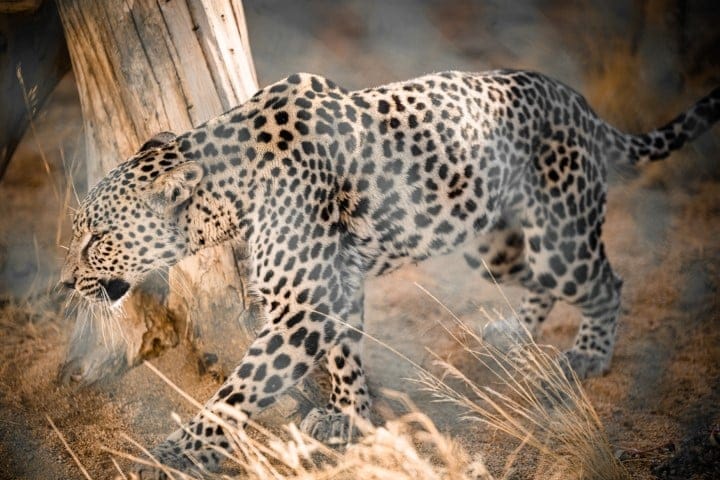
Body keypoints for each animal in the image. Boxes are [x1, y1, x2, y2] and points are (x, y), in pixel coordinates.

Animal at [59, 70, 719, 477]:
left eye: (97, 239)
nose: (65, 284)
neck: (231, 193)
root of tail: (582, 106)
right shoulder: (335, 288)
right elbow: (346, 354)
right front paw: (349, 417)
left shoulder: (303, 306)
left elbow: (236, 394)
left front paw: (172, 455)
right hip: (495, 244)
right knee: (534, 283)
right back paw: (513, 332)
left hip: (559, 235)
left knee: (606, 284)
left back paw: (584, 359)